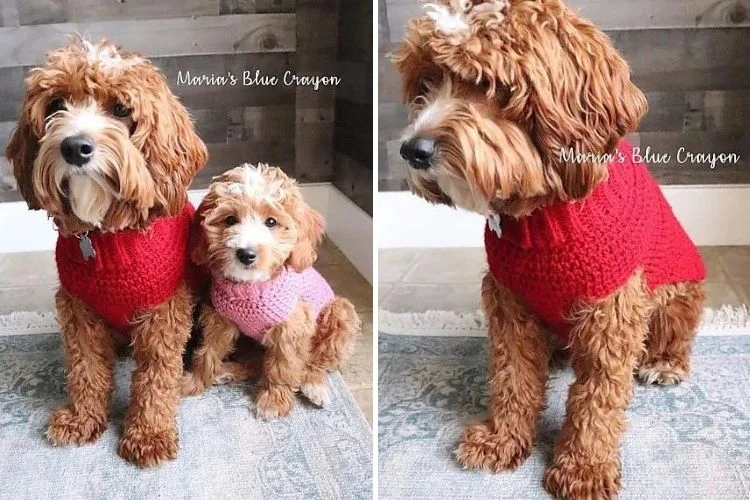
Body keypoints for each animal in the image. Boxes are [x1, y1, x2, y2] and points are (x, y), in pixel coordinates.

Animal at [5, 36, 209, 468]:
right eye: (56, 105)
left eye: (121, 109)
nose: (74, 146)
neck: (108, 237)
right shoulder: (78, 308)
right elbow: (86, 367)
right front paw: (82, 419)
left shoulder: (163, 312)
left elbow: (155, 378)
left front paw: (148, 434)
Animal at [184, 163, 362, 418]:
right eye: (230, 220)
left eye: (271, 222)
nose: (246, 254)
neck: (251, 287)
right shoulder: (220, 319)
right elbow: (207, 351)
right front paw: (194, 381)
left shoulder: (291, 327)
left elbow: (282, 366)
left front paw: (273, 402)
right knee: (254, 363)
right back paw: (226, 371)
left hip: (340, 312)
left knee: (316, 361)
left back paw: (314, 384)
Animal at [396, 0, 708, 500]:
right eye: (426, 84)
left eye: (487, 83)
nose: (413, 150)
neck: (542, 215)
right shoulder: (508, 300)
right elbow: (512, 376)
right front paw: (502, 440)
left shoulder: (612, 309)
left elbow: (597, 398)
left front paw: (583, 466)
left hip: (678, 296)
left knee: (675, 336)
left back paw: (664, 364)